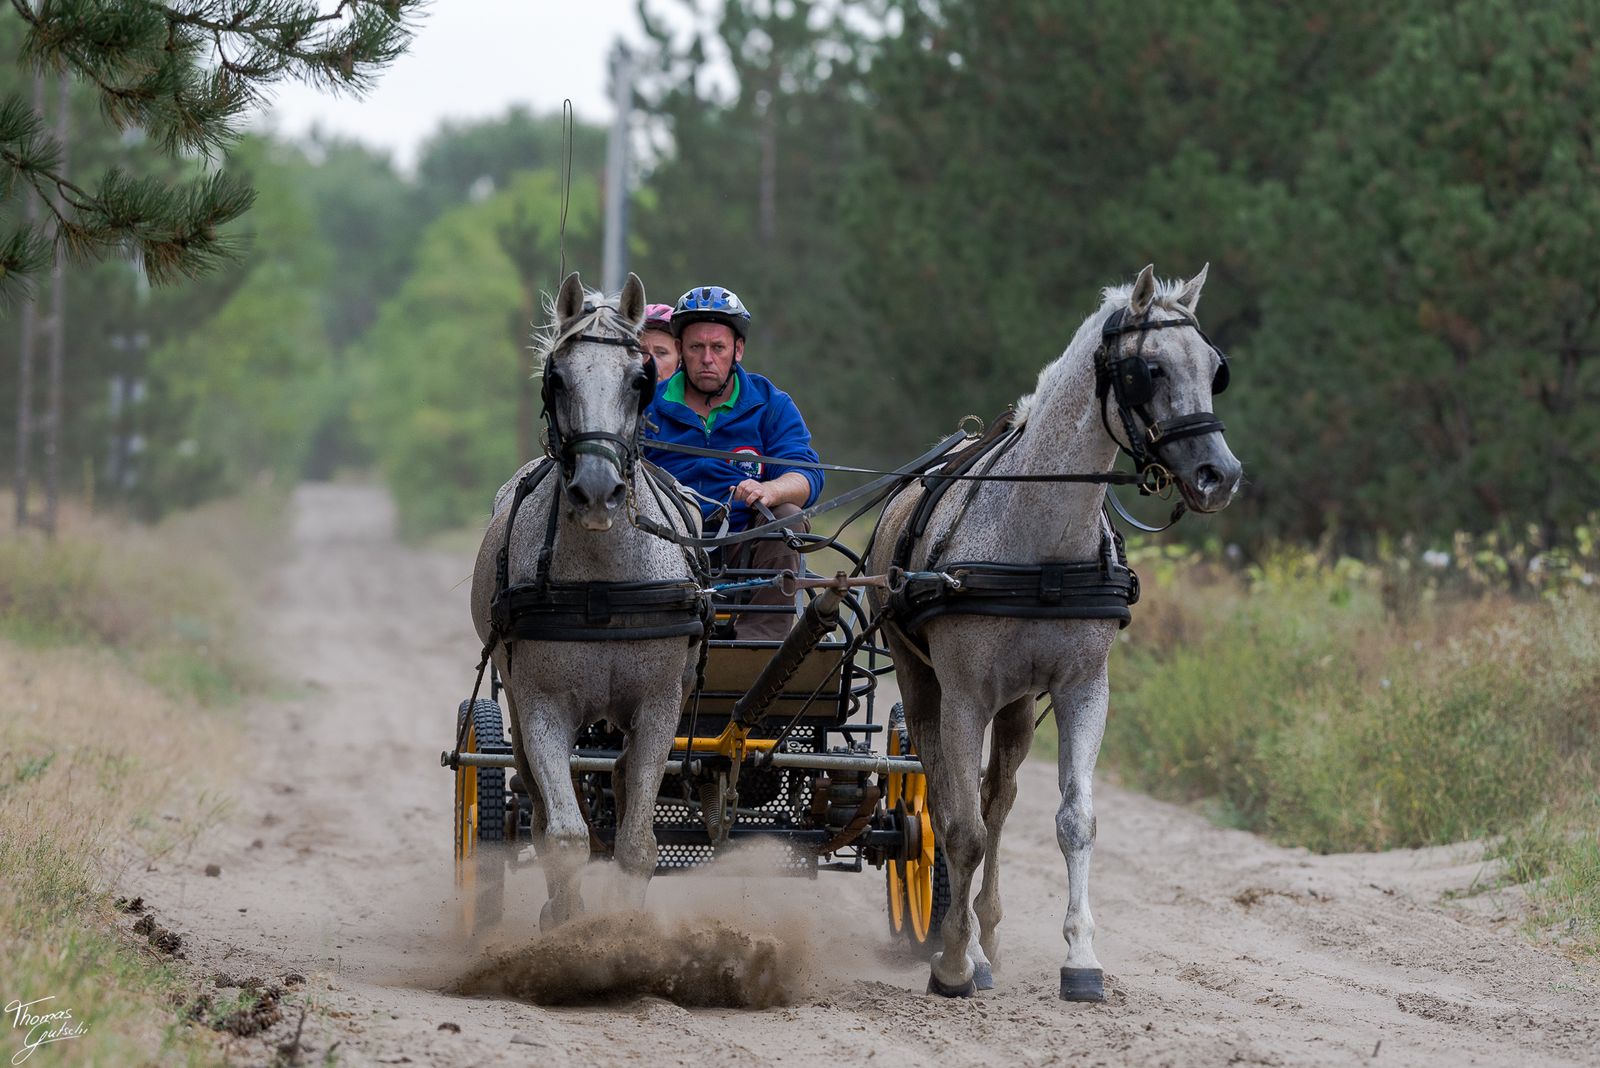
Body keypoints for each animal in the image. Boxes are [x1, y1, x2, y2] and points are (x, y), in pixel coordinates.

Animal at [470, 271, 704, 927]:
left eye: (640, 379)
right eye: (557, 378)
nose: (597, 492)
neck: (603, 585)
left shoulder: (659, 706)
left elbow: (637, 842)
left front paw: (622, 931)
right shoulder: (542, 705)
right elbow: (566, 837)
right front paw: (566, 927)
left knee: (621, 781)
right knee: (541, 799)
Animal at [870, 262, 1241, 997]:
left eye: (1215, 370)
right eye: (1149, 369)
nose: (1221, 475)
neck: (1039, 545)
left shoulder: (1082, 688)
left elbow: (1074, 821)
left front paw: (1081, 958)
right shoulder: (964, 697)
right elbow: (958, 826)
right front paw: (954, 964)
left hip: (1016, 704)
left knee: (998, 798)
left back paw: (987, 928)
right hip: (922, 682)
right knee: (946, 793)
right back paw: (964, 942)